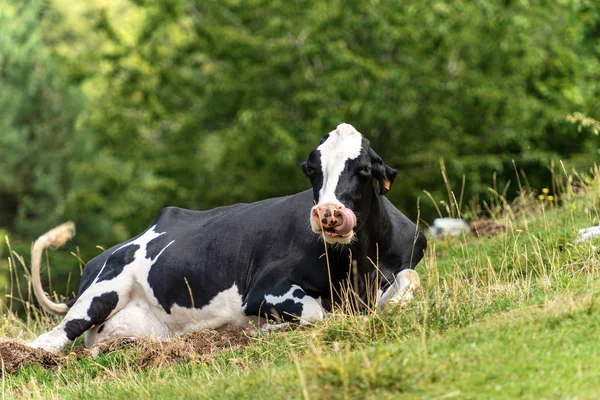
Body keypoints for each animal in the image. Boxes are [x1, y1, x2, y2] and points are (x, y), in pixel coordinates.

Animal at [25, 123, 424, 352]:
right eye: (312, 170)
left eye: (364, 168)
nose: (328, 213)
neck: (359, 261)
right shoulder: (264, 291)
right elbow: (319, 315)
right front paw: (266, 331)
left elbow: (408, 281)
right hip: (103, 291)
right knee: (52, 340)